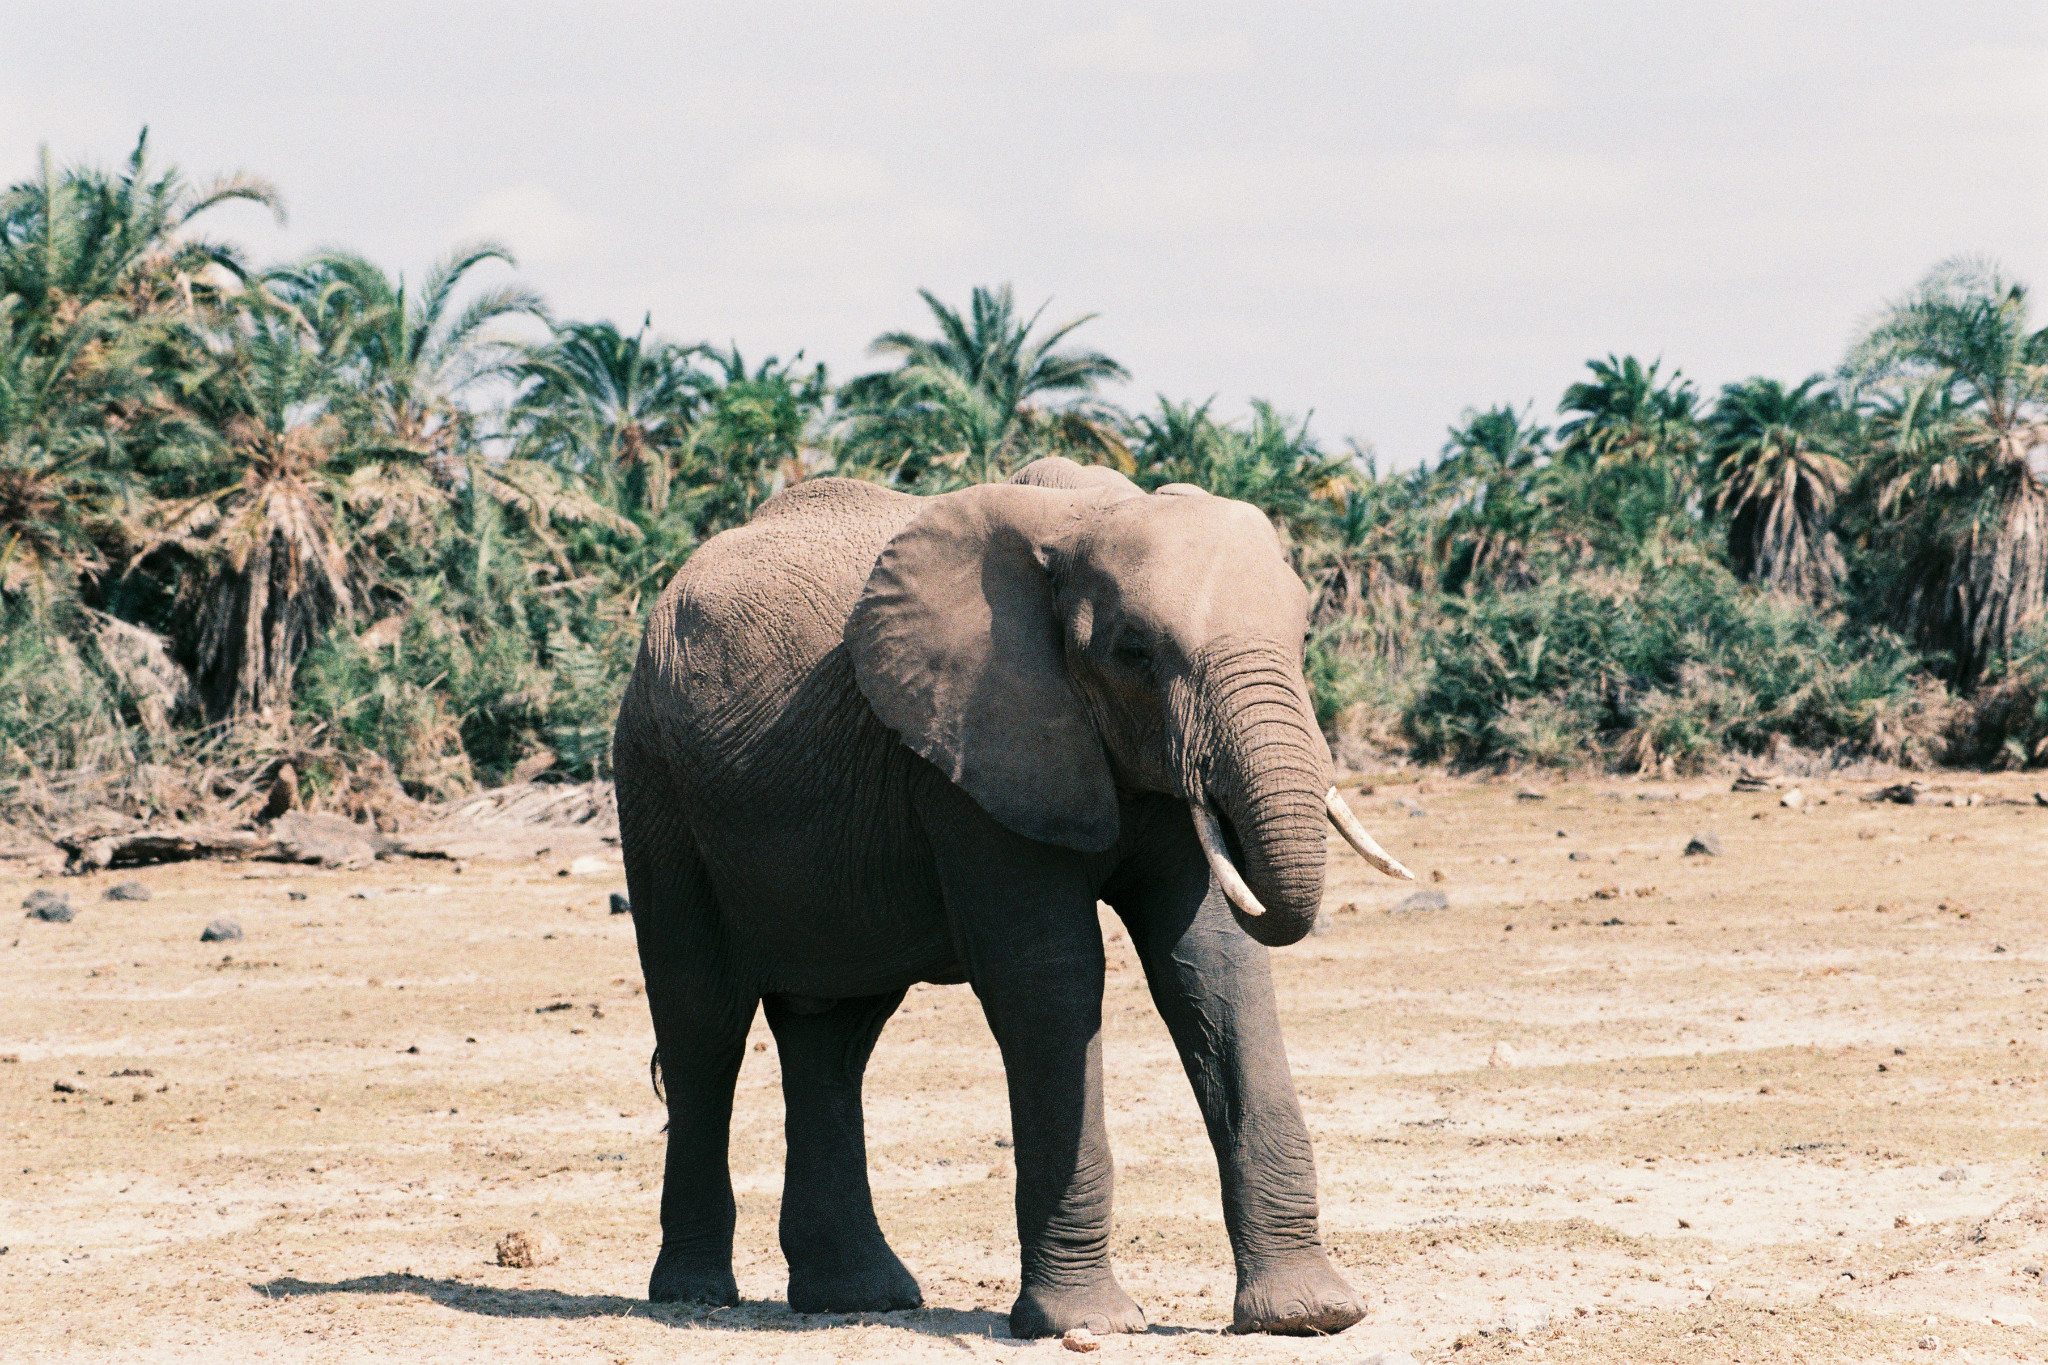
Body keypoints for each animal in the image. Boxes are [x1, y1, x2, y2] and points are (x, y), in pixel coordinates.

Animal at [606, 454, 1409, 1342]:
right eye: (1135, 652)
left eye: (1301, 640)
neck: (1086, 517)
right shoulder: (971, 743)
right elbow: (1050, 976)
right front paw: (1086, 1321)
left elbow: (1211, 965)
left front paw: (1310, 1316)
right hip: (654, 782)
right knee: (702, 1025)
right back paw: (695, 1294)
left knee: (833, 1033)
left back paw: (859, 1298)